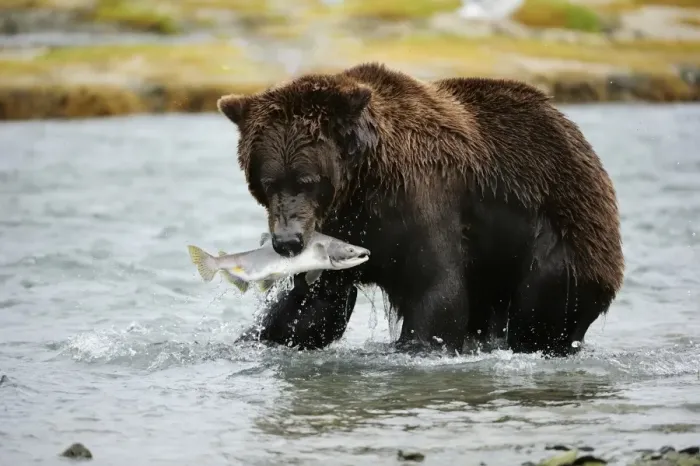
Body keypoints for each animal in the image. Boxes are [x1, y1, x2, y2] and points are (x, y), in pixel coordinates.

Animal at [216, 62, 624, 357]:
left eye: (306, 179)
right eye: (267, 182)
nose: (286, 242)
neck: (363, 185)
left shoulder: (421, 198)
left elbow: (436, 289)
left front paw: (418, 347)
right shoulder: (341, 230)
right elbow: (314, 307)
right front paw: (257, 338)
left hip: (561, 234)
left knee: (542, 309)